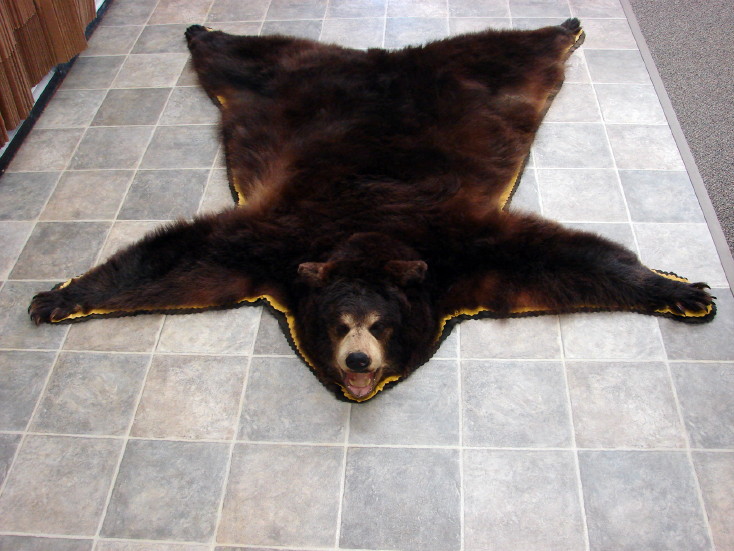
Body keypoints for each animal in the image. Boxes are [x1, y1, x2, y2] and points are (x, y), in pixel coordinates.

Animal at [28, 19, 714, 401]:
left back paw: (566, 26)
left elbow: (565, 259)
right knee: (244, 58)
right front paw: (59, 296)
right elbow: (181, 259)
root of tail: (381, 59)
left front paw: (679, 289)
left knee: (516, 51)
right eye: (339, 325)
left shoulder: (462, 249)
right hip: (277, 88)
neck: (370, 234)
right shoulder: (276, 241)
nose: (358, 362)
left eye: (380, 326)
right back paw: (201, 31)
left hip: (488, 77)